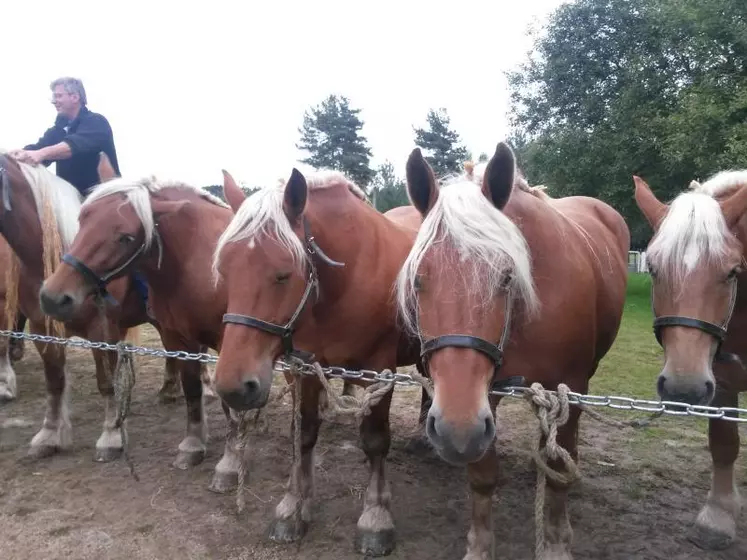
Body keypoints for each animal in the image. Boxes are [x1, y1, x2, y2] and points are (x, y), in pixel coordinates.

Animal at [0, 153, 180, 460]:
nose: (54, 298)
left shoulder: (102, 330)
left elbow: (106, 382)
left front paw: (111, 436)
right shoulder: (42, 327)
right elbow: (54, 381)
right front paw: (49, 435)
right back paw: (169, 390)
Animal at [38, 161, 243, 490]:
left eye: (125, 236)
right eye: (82, 218)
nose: (54, 297)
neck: (202, 264)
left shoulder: (228, 341)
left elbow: (230, 406)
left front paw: (230, 462)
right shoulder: (178, 338)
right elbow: (192, 389)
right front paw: (192, 445)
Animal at [210, 170, 426, 556]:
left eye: (283, 274)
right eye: (224, 270)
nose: (234, 387)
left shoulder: (380, 369)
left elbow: (375, 439)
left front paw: (375, 516)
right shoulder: (305, 368)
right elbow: (304, 433)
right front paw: (294, 505)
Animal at [398, 142, 632, 556]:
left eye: (506, 277)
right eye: (418, 279)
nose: (456, 429)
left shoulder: (570, 388)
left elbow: (558, 476)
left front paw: (556, 543)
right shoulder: (484, 396)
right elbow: (482, 476)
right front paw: (479, 547)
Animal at [636, 172, 747, 552]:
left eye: (733, 271)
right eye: (653, 268)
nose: (684, 388)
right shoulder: (723, 380)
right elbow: (725, 443)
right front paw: (719, 515)